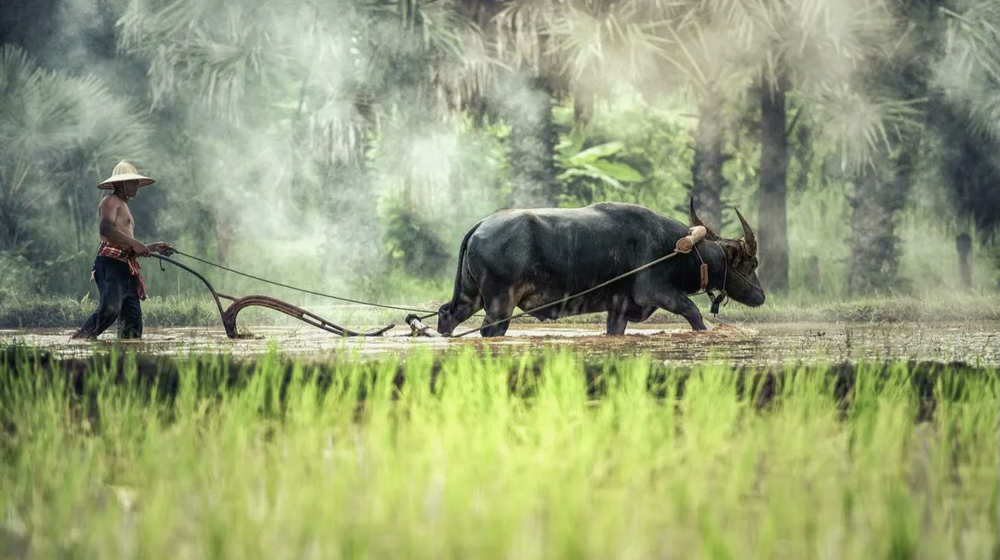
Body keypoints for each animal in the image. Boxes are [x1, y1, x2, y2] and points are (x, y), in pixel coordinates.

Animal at [438, 199, 764, 334]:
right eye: (751, 263)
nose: (760, 295)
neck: (680, 249)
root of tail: (481, 225)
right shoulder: (656, 292)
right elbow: (694, 313)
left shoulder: (619, 308)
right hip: (499, 304)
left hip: (470, 296)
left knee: (447, 315)